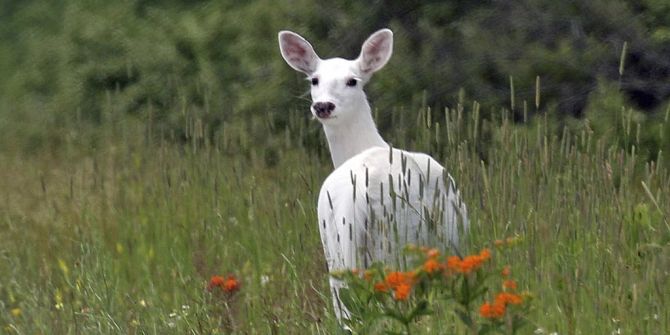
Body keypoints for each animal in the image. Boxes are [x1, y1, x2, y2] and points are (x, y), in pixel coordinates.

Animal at [278, 28, 468, 322]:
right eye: (314, 80)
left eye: (352, 81)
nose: (323, 106)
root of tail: (359, 196)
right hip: (397, 246)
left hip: (339, 254)